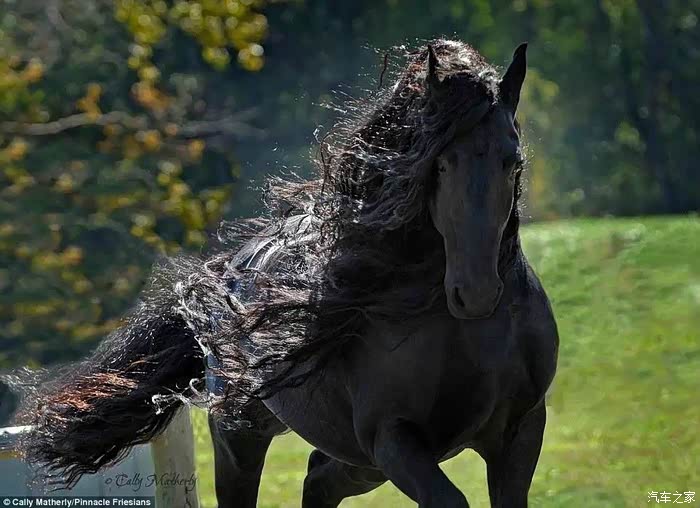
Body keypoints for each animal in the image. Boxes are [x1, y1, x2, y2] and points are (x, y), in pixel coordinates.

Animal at [13, 39, 558, 508]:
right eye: (440, 164)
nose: (475, 292)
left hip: (356, 461)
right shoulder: (395, 439)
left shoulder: (519, 433)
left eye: (512, 162)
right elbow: (448, 499)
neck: (467, 338)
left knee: (318, 481)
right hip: (245, 436)